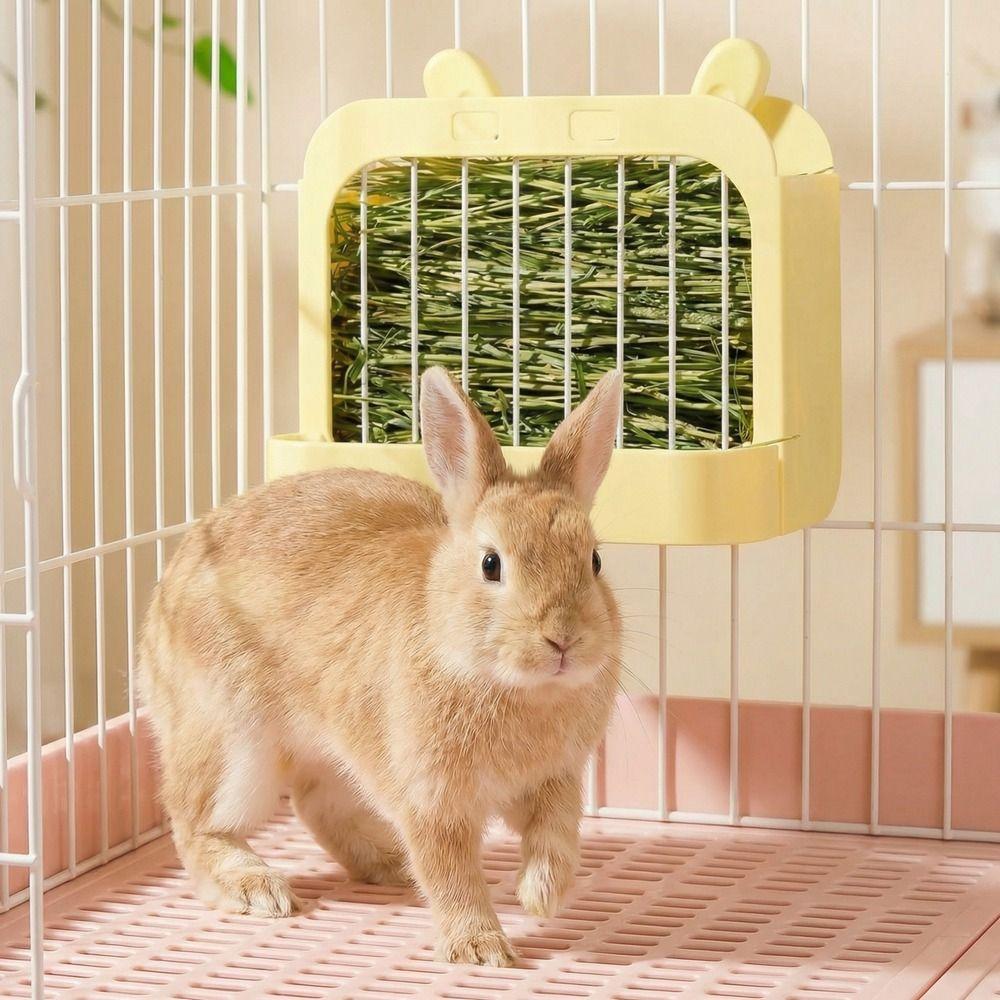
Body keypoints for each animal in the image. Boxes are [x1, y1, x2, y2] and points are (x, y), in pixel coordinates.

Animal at [138, 365, 623, 967]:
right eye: (491, 564)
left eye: (595, 561)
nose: (563, 639)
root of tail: (154, 624)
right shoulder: (430, 801)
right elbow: (450, 876)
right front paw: (481, 949)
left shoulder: (555, 779)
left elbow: (556, 838)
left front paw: (541, 896)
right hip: (232, 742)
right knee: (197, 824)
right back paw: (259, 889)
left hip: (333, 751)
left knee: (315, 803)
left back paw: (389, 862)